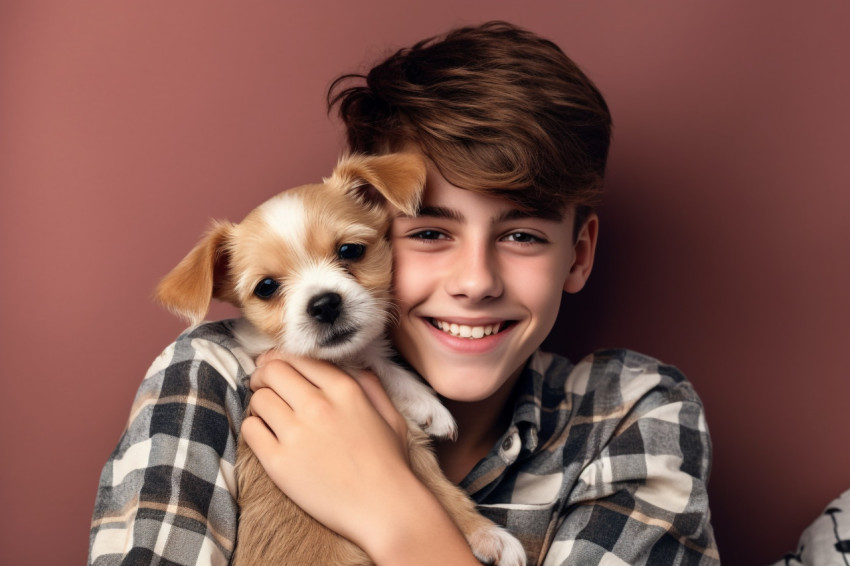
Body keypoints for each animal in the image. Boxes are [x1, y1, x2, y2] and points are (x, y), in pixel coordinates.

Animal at [153, 153, 524, 564]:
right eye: (266, 287)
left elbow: (381, 362)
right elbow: (442, 492)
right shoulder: (412, 454)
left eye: (350, 251)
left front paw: (427, 403)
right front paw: (491, 536)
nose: (324, 304)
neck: (340, 364)